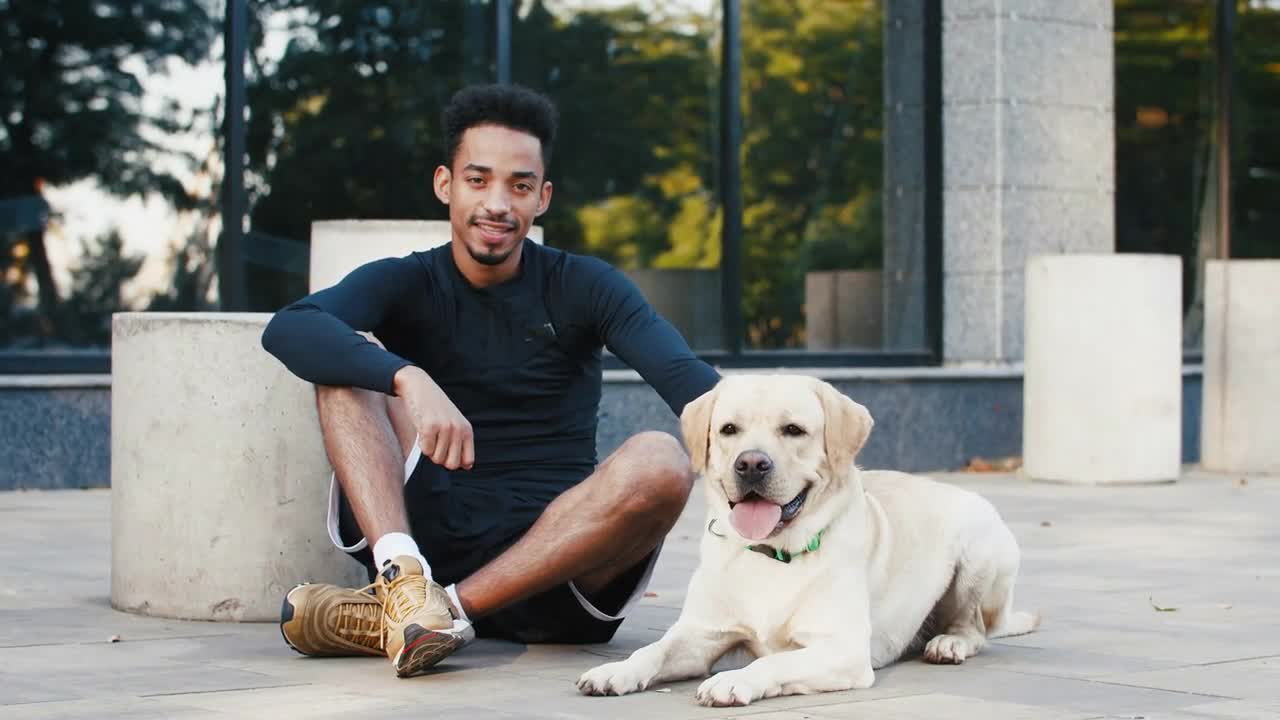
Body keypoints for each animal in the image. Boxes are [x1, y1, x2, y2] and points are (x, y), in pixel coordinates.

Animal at [581, 371, 1039, 702]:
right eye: (729, 429)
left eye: (793, 430)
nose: (751, 464)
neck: (771, 553)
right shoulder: (700, 633)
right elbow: (653, 650)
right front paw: (615, 670)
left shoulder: (842, 650)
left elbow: (772, 663)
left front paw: (733, 680)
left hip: (980, 549)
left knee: (975, 627)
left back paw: (950, 643)